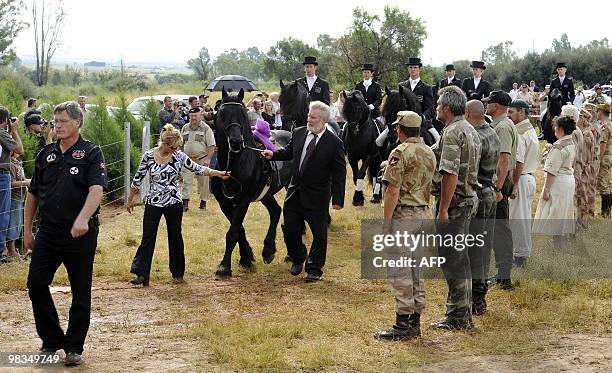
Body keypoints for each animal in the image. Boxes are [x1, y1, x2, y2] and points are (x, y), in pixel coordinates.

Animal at [210, 88, 292, 280]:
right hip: (266, 194)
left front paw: (224, 267)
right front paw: (246, 257)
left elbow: (233, 232)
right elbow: (238, 229)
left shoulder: (243, 200)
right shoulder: (225, 202)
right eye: (223, 114)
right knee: (275, 211)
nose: (235, 142)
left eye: (242, 115)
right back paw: (268, 250)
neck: (233, 163)